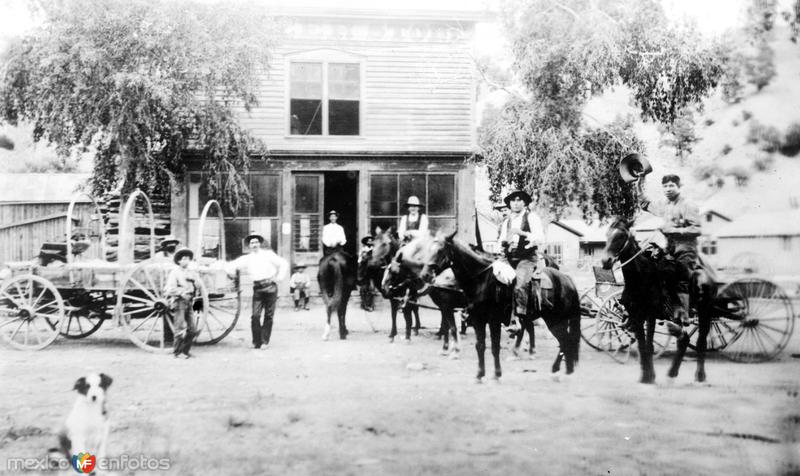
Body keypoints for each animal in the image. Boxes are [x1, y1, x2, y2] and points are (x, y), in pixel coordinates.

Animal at [418, 232, 580, 382]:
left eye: (440, 250)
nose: (425, 275)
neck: (481, 280)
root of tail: (567, 279)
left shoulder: (492, 320)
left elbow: (494, 347)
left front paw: (496, 374)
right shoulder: (477, 320)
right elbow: (480, 345)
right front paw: (479, 375)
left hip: (554, 321)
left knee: (564, 341)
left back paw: (556, 369)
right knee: (563, 341)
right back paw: (565, 369)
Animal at [604, 218, 716, 384]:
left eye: (621, 236)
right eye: (607, 235)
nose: (606, 261)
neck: (641, 277)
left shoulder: (651, 316)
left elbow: (649, 346)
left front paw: (650, 377)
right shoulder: (637, 317)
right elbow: (642, 346)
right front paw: (645, 376)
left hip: (705, 312)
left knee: (700, 342)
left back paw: (699, 375)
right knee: (683, 339)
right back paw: (673, 372)